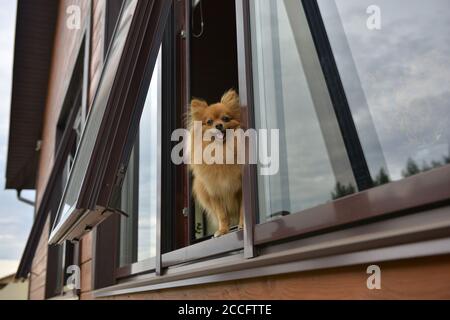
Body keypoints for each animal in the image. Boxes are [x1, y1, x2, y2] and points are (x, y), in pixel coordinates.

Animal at [188, 90, 244, 238]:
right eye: (209, 122)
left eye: (225, 119)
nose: (218, 125)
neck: (221, 151)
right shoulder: (215, 192)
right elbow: (222, 215)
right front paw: (223, 230)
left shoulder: (240, 189)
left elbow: (243, 210)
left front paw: (243, 225)